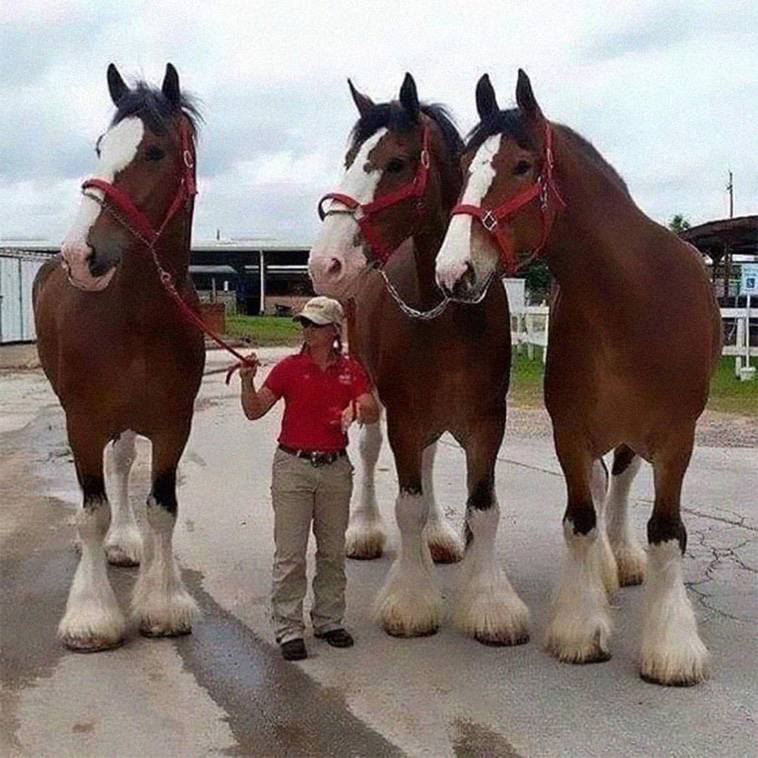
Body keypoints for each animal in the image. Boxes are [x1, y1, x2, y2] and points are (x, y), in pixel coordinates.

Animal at [33, 63, 205, 651]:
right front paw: (90, 616)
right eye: (100, 146)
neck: (137, 318)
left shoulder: (174, 423)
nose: (78, 256)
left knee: (125, 461)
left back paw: (126, 543)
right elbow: (91, 512)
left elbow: (163, 509)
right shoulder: (82, 421)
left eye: (154, 151)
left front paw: (162, 602)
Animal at [308, 74, 530, 646]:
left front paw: (490, 603)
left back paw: (437, 535)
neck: (449, 312)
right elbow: (405, 504)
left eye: (397, 163)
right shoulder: (405, 416)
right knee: (368, 452)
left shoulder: (486, 422)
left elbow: (484, 509)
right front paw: (411, 600)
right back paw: (364, 529)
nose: (325, 263)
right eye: (350, 158)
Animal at [435, 70, 721, 685]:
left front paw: (671, 649)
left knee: (624, 481)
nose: (453, 271)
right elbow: (580, 521)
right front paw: (580, 628)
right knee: (600, 484)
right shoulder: (569, 430)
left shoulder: (676, 440)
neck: (631, 302)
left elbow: (667, 534)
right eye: (465, 162)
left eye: (522, 166)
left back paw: (625, 561)